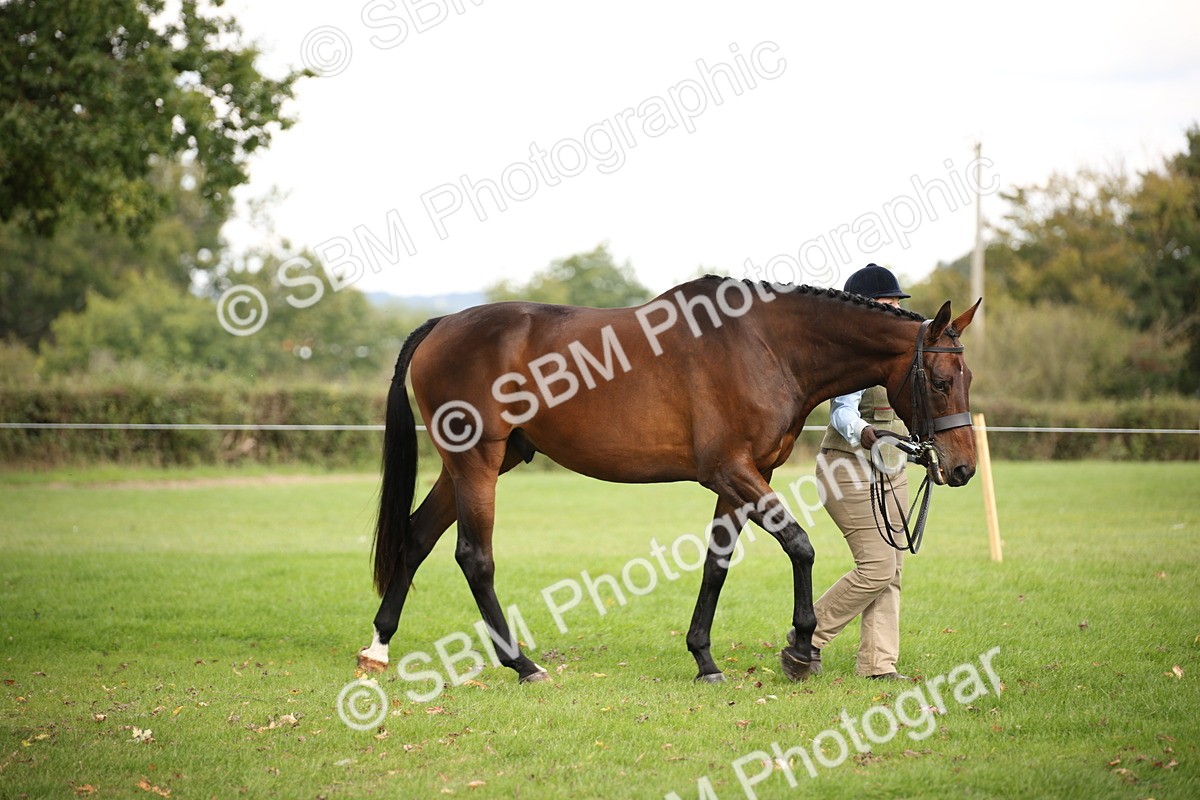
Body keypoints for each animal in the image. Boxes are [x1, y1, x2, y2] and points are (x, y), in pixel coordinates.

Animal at [357, 276, 980, 685]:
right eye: (942, 380)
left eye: (967, 376)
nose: (962, 468)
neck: (767, 346)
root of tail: (443, 324)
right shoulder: (731, 472)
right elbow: (800, 546)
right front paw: (802, 649)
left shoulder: (743, 480)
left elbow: (716, 565)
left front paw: (704, 659)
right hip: (477, 463)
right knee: (473, 556)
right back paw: (523, 664)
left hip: (477, 463)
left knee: (417, 535)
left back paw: (379, 646)